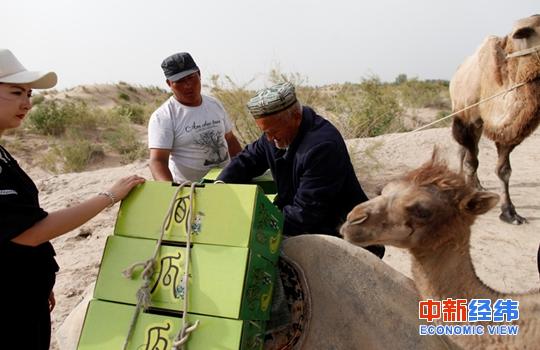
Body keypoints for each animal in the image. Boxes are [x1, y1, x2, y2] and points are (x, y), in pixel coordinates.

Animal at [450, 14, 540, 224]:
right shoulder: (468, 121)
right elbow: (471, 162)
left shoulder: (506, 129)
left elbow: (504, 170)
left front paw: (510, 213)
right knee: (464, 151)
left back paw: (478, 185)